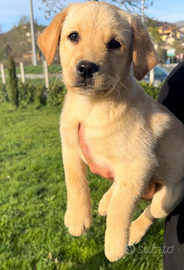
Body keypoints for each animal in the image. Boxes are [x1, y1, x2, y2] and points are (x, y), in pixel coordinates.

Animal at [38, 1, 184, 262]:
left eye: (115, 44)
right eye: (73, 36)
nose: (86, 67)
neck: (92, 107)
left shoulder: (140, 162)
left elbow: (122, 204)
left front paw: (115, 244)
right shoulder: (70, 146)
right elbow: (74, 180)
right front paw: (77, 217)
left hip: (168, 197)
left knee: (149, 211)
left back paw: (133, 230)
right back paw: (105, 201)